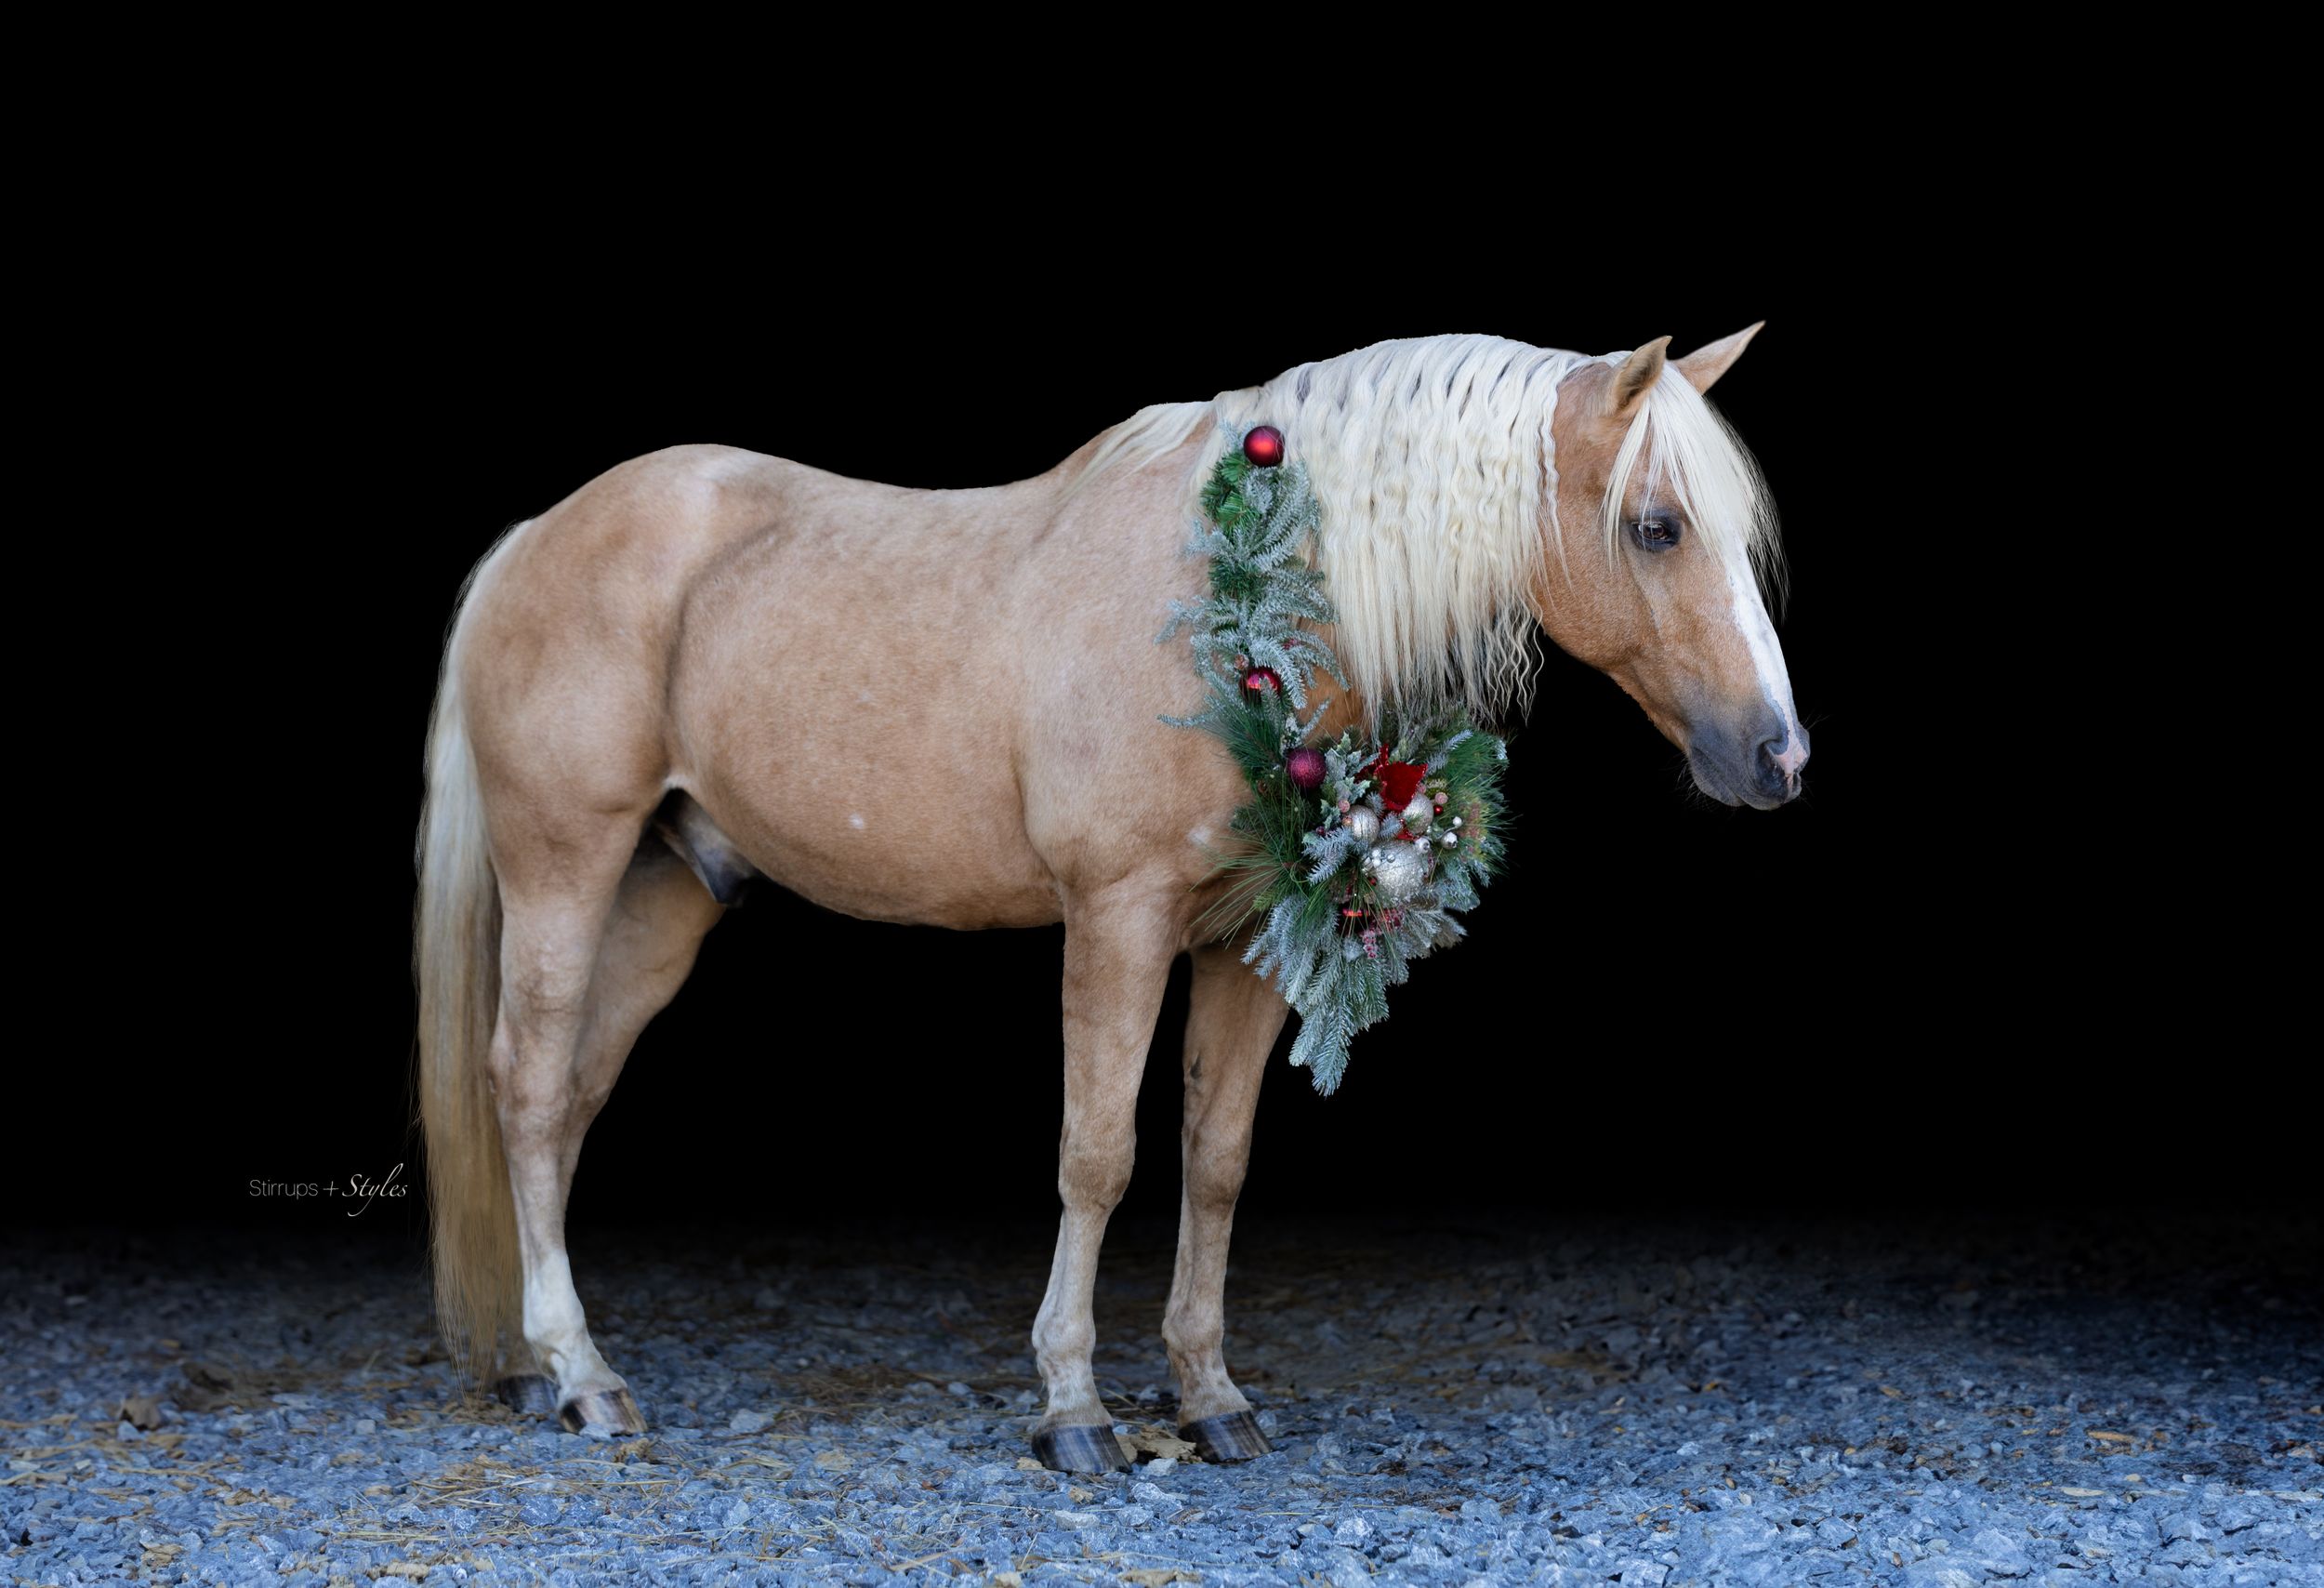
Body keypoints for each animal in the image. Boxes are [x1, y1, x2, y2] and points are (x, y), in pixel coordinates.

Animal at [413, 326, 1807, 1474]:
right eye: (1657, 527)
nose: (1778, 756)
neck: (1230, 602)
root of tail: (537, 533)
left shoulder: (1247, 944)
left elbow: (1214, 1162)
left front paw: (1208, 1395)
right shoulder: (1116, 919)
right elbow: (1097, 1155)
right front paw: (1072, 1408)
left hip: (665, 892)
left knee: (572, 1093)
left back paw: (542, 1362)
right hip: (565, 865)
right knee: (526, 1087)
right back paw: (582, 1376)